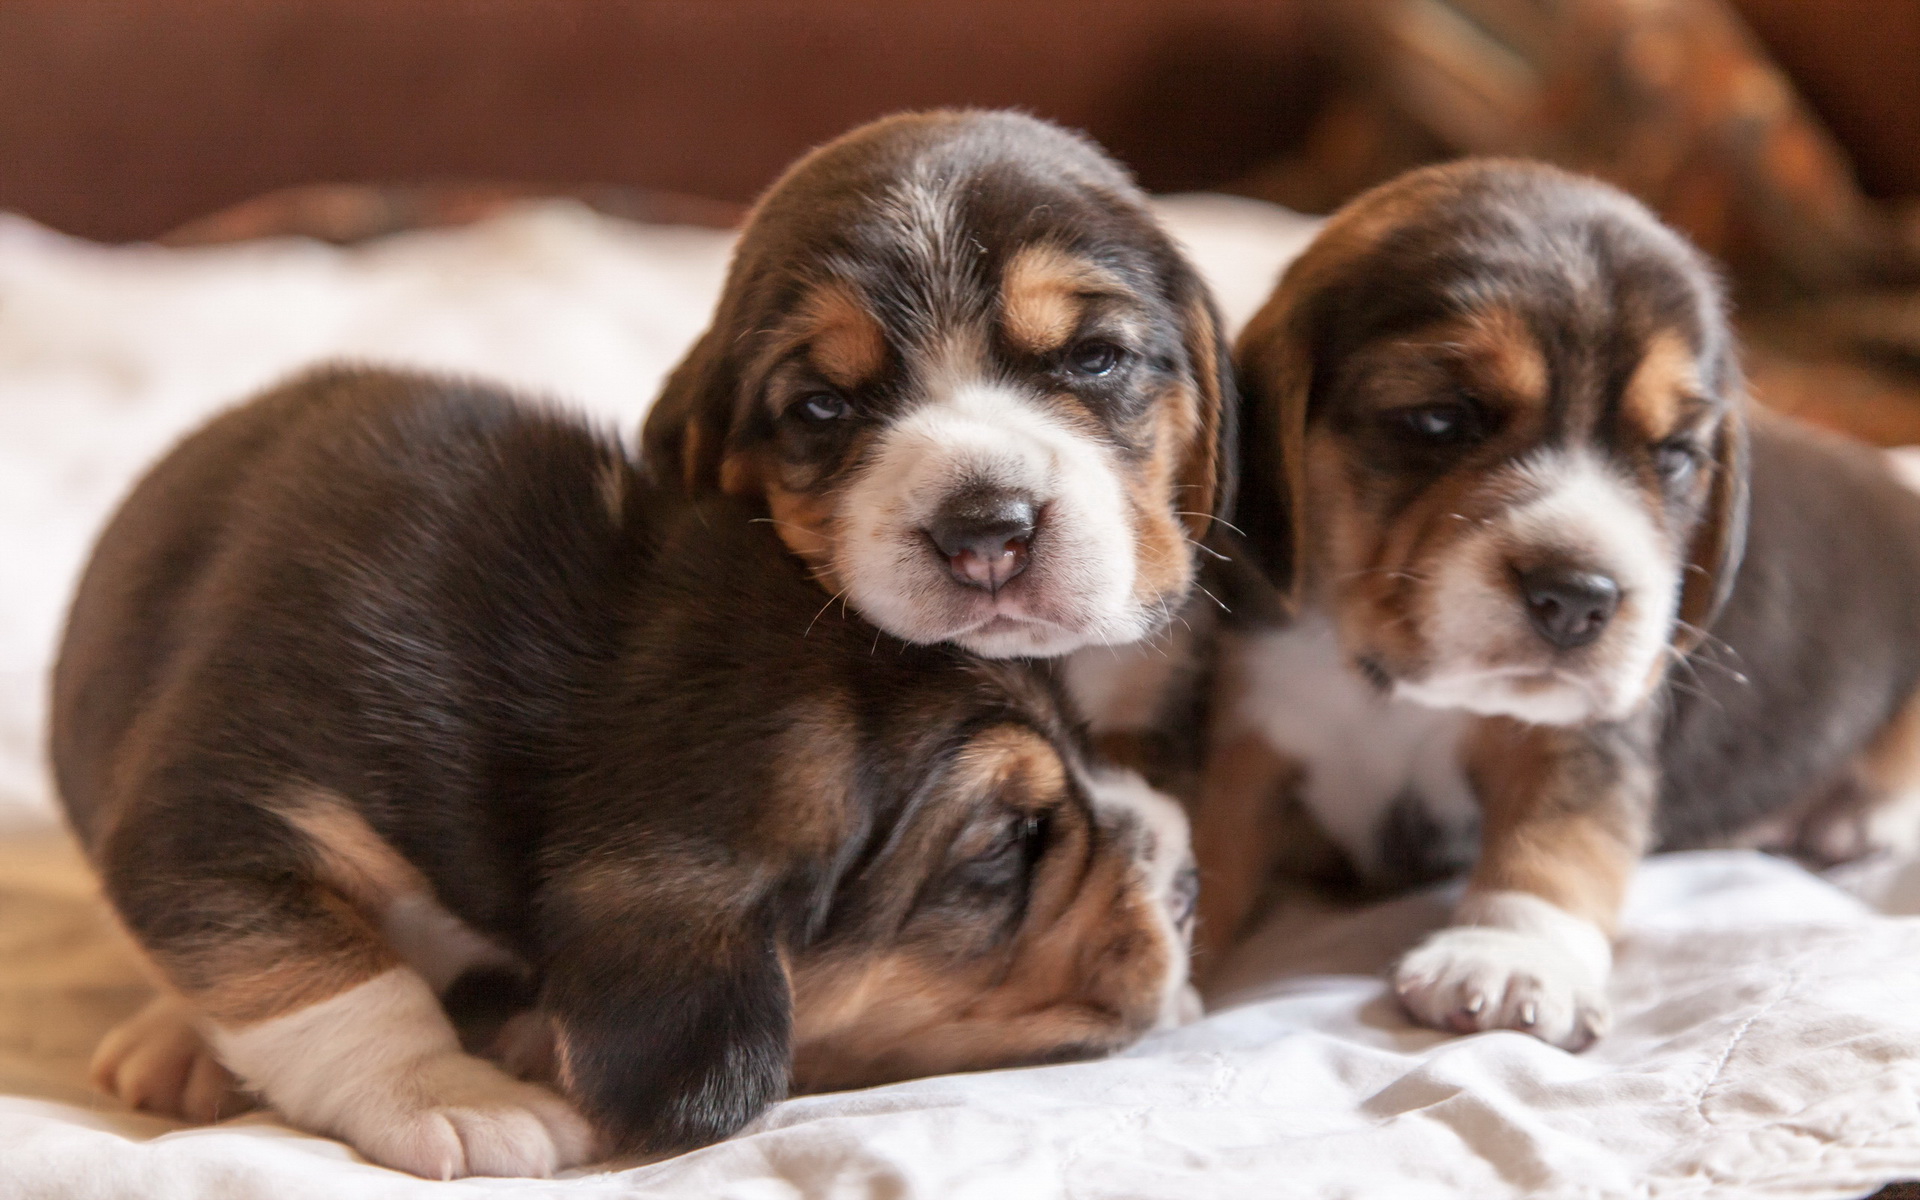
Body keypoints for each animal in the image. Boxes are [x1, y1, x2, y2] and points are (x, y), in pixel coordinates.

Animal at [52, 362, 1198, 1167]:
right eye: (1007, 844)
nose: (1188, 880)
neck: (600, 669)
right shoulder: (227, 814)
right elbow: (335, 982)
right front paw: (454, 1097)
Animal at [1198, 161, 1920, 1044]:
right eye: (1440, 419)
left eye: (1673, 455)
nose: (1578, 599)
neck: (1382, 678)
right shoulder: (1246, 725)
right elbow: (1200, 843)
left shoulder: (1585, 732)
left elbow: (1555, 839)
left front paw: (1507, 958)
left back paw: (1855, 819)